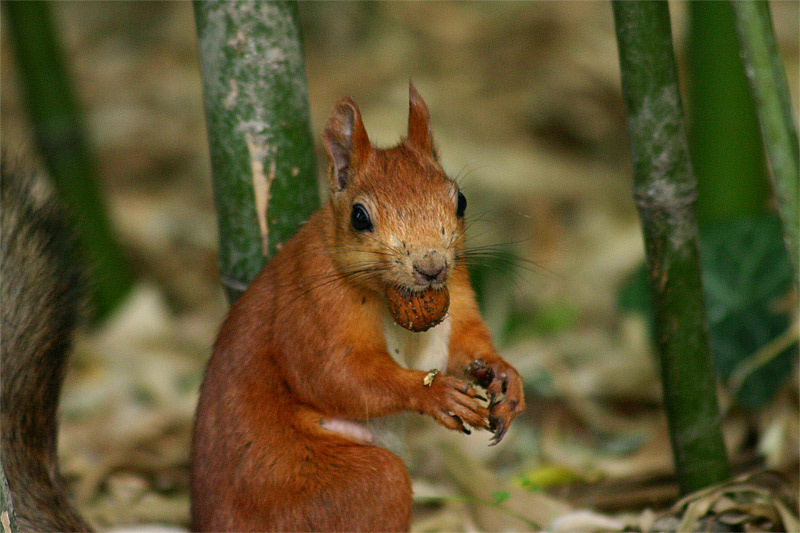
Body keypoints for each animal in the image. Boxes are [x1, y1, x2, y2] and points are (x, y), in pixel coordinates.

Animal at [191, 85, 525, 531]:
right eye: (359, 216)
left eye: (461, 201)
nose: (431, 267)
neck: (390, 296)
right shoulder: (313, 306)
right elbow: (336, 375)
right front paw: (434, 393)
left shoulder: (457, 291)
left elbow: (468, 346)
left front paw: (504, 376)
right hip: (343, 489)